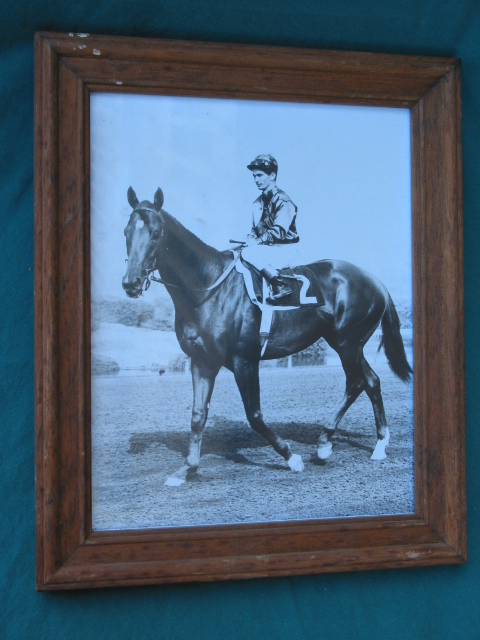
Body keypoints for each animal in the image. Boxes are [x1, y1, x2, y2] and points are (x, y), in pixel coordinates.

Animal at [122, 187, 412, 484]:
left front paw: (291, 457)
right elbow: (198, 414)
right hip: (347, 344)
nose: (130, 283)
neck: (209, 288)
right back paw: (379, 444)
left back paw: (323, 443)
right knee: (372, 381)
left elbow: (254, 415)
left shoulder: (245, 361)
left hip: (347, 344)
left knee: (356, 383)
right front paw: (186, 468)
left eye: (156, 233)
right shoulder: (202, 361)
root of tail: (375, 281)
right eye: (126, 232)